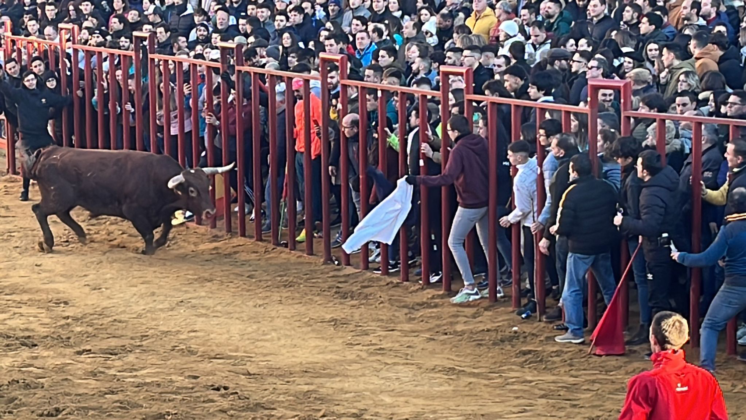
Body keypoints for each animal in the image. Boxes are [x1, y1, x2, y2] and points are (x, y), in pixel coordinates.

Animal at [27, 146, 232, 254]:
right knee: (39, 210)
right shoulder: (134, 212)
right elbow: (148, 233)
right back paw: (48, 243)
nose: (211, 212)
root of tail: (49, 151)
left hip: (65, 200)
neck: (157, 179)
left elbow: (166, 228)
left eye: (208, 187)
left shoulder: (163, 211)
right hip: (57, 197)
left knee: (62, 214)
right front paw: (147, 250)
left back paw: (81, 235)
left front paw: (157, 244)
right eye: (192, 190)